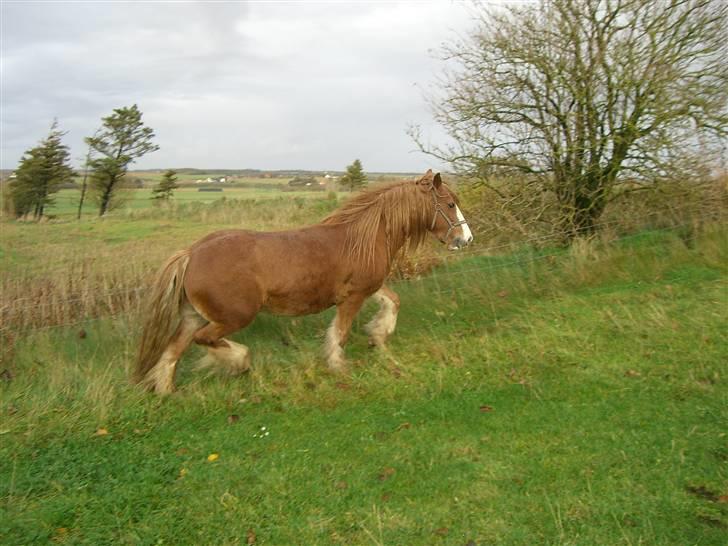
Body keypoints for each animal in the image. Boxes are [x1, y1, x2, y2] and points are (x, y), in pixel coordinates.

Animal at [132, 168, 472, 394]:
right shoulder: (353, 297)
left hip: (192, 315)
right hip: (232, 316)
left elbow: (393, 302)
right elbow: (340, 334)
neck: (362, 237)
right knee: (203, 340)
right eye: (450, 204)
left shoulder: (368, 288)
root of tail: (191, 252)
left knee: (171, 352)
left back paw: (167, 392)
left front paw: (378, 334)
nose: (466, 239)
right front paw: (339, 366)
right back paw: (239, 361)